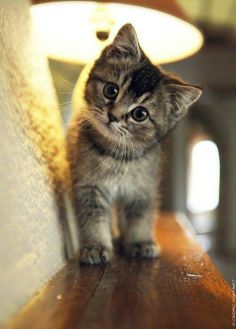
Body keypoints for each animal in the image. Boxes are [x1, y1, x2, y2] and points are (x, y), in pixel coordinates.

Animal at [67, 23, 202, 264]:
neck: (116, 155)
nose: (113, 116)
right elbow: (93, 217)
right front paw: (96, 246)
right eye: (111, 90)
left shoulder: (143, 188)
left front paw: (140, 242)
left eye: (140, 114)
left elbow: (140, 217)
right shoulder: (88, 185)